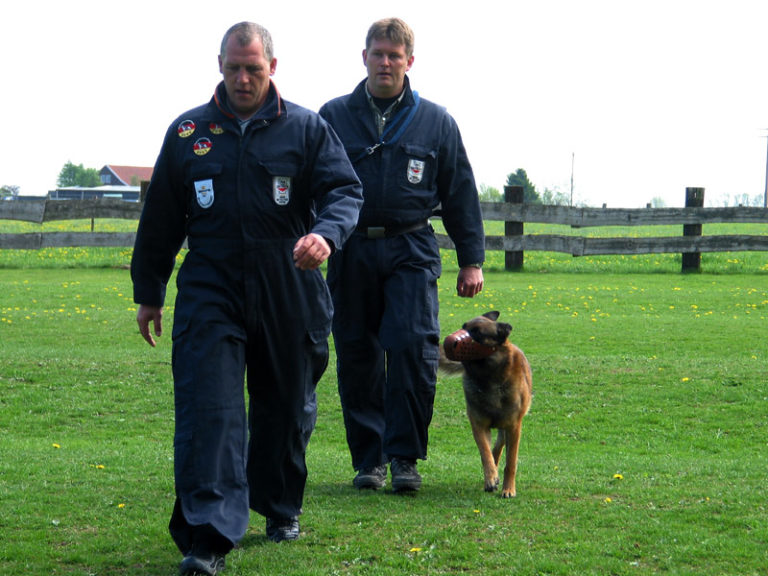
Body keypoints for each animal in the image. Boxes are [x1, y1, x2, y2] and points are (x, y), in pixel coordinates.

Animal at [440, 312, 532, 498]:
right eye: (464, 327)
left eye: (477, 332)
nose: (448, 342)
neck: (489, 378)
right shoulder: (479, 425)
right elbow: (485, 453)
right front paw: (490, 478)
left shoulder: (514, 427)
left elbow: (511, 462)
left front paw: (508, 489)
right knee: (493, 451)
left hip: (506, 430)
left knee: (499, 448)